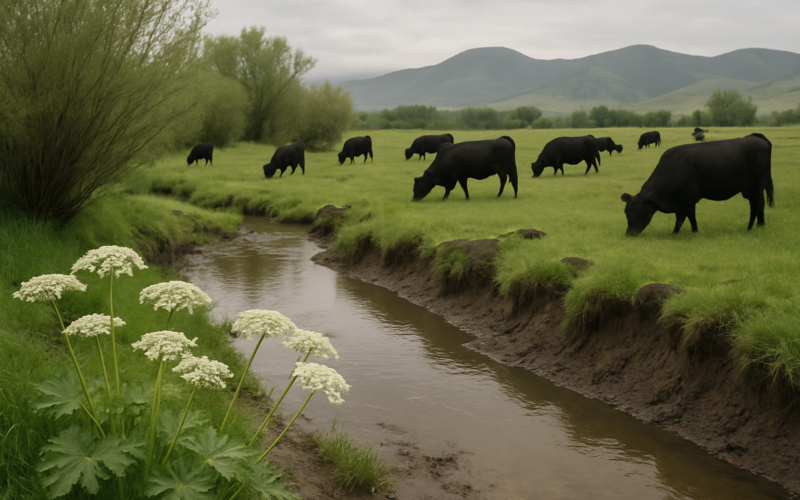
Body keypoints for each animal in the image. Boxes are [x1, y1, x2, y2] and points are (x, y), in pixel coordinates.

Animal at [621, 133, 774, 236]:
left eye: (636, 211)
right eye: (626, 212)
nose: (629, 234)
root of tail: (755, 137)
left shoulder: (689, 200)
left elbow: (690, 218)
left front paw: (695, 232)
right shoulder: (679, 203)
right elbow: (680, 220)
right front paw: (674, 233)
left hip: (757, 186)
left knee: (759, 204)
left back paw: (758, 226)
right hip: (748, 189)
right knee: (754, 206)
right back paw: (752, 227)